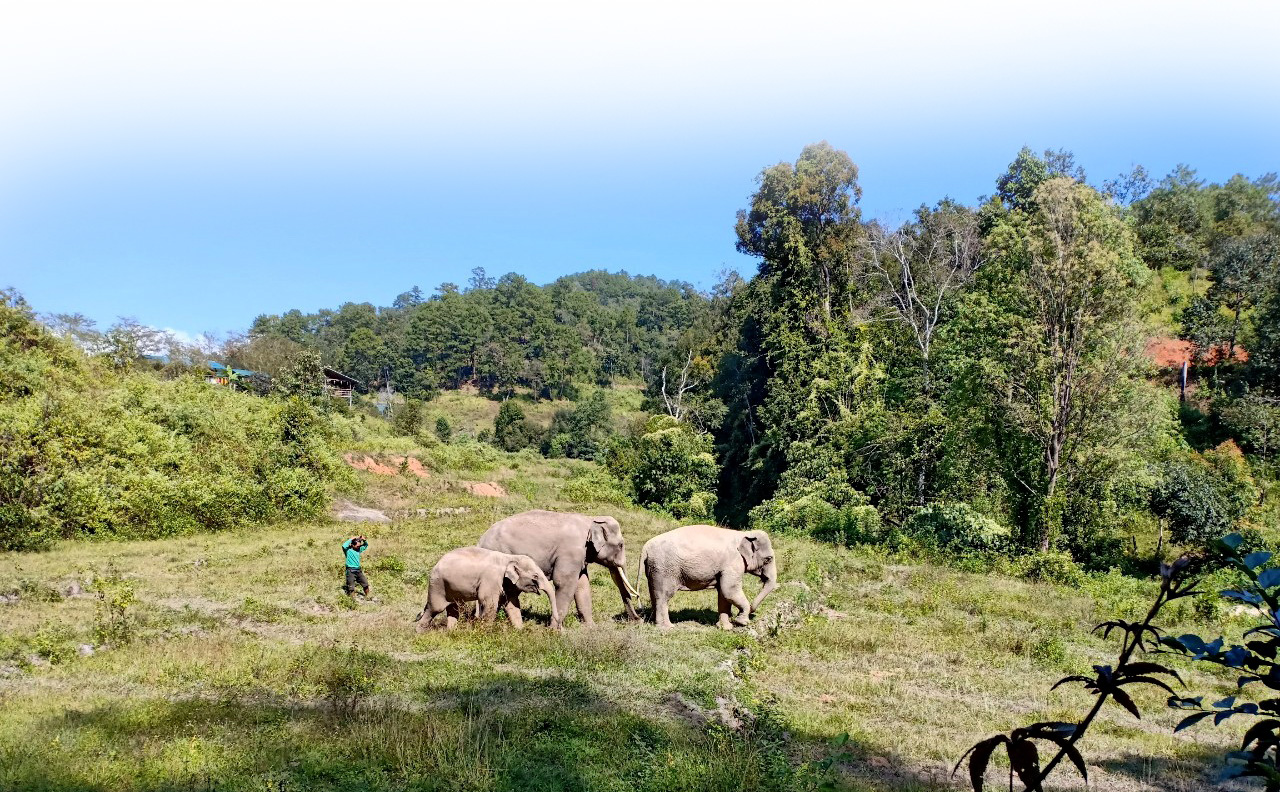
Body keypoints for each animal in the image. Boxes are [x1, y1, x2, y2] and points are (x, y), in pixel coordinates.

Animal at [412, 547, 558, 629]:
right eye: (535, 576)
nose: (554, 628)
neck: (509, 557)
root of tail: (436, 563)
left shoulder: (507, 584)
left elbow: (513, 605)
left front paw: (519, 631)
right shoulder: (491, 580)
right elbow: (490, 604)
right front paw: (486, 632)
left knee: (453, 609)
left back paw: (451, 632)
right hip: (437, 586)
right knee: (434, 609)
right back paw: (420, 632)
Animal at [478, 514, 645, 632]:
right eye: (621, 545)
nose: (639, 620)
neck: (590, 519)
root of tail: (480, 540)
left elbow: (582, 586)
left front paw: (591, 628)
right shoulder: (571, 552)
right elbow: (564, 584)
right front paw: (556, 631)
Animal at [640, 527, 778, 632]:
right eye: (768, 559)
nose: (752, 610)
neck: (744, 534)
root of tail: (645, 547)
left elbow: (723, 595)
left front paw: (725, 628)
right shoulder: (732, 564)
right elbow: (729, 591)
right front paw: (742, 622)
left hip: (654, 569)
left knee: (654, 594)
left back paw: (654, 622)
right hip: (665, 569)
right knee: (664, 596)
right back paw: (667, 627)